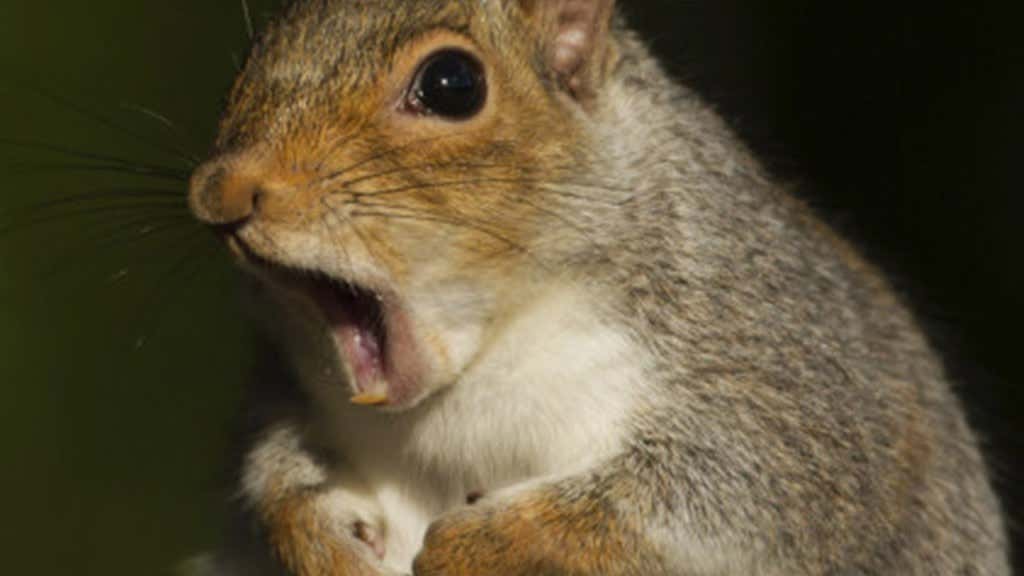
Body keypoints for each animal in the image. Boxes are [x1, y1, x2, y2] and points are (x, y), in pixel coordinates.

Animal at [185, 1, 1009, 574]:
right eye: (255, 54)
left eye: (452, 84)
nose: (220, 192)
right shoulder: (285, 387)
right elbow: (275, 467)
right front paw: (314, 533)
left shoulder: (784, 377)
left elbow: (720, 492)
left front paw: (490, 542)